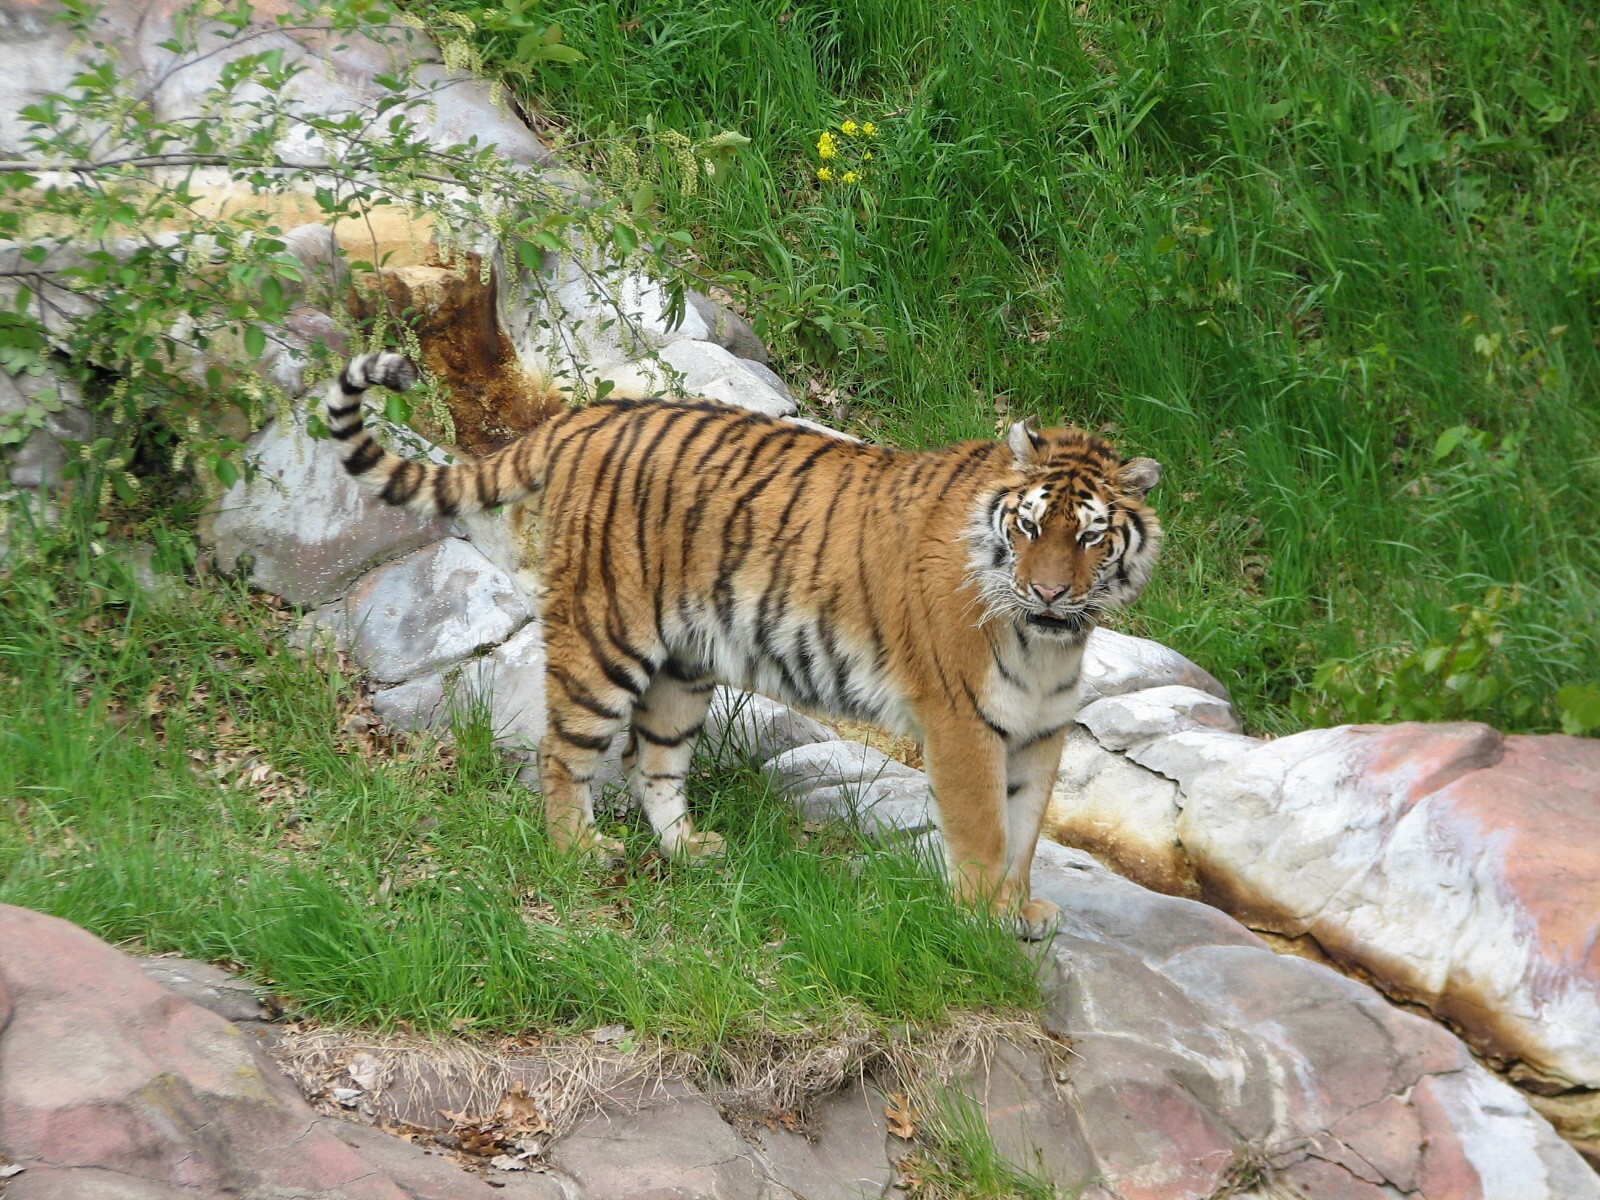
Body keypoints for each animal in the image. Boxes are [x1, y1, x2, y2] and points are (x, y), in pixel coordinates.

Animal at [324, 352, 1162, 938]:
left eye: (1090, 538)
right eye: (1029, 526)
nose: (1048, 592)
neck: (1048, 642)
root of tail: (581, 416)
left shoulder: (1040, 730)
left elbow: (1025, 832)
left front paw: (1022, 912)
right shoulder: (962, 724)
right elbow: (986, 832)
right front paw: (985, 923)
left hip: (685, 662)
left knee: (655, 760)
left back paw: (689, 849)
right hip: (606, 636)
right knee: (563, 751)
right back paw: (578, 853)